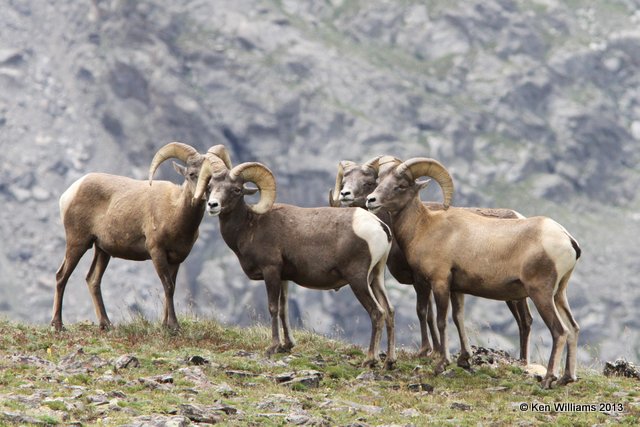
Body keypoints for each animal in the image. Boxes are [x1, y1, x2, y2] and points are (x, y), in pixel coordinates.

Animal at [51, 142, 229, 332]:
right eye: (191, 174)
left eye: (213, 180)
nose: (206, 200)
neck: (174, 213)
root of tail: (69, 193)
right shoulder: (157, 252)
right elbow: (168, 286)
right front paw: (174, 326)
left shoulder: (176, 260)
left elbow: (171, 288)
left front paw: (165, 324)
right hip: (78, 243)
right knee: (62, 276)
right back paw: (58, 325)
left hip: (102, 251)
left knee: (93, 280)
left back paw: (106, 324)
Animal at [194, 150, 396, 368]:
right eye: (210, 187)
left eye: (236, 189)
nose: (212, 205)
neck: (250, 226)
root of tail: (380, 226)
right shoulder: (284, 278)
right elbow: (284, 309)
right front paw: (286, 346)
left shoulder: (271, 271)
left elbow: (273, 308)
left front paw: (273, 347)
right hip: (376, 278)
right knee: (389, 310)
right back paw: (390, 361)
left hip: (358, 280)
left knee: (377, 312)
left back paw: (370, 360)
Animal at [328, 157, 532, 364]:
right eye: (344, 181)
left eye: (369, 183)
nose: (346, 194)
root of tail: (520, 216)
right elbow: (432, 314)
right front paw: (436, 350)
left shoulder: (423, 280)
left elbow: (423, 312)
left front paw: (427, 351)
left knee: (525, 321)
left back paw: (524, 362)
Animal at [364, 159, 580, 390]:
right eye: (380, 181)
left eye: (401, 186)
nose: (371, 200)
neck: (425, 227)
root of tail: (567, 239)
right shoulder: (456, 289)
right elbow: (458, 318)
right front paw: (464, 359)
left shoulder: (439, 283)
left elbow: (441, 320)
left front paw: (441, 364)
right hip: (559, 294)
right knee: (573, 328)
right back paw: (567, 378)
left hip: (541, 294)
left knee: (559, 331)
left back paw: (549, 379)